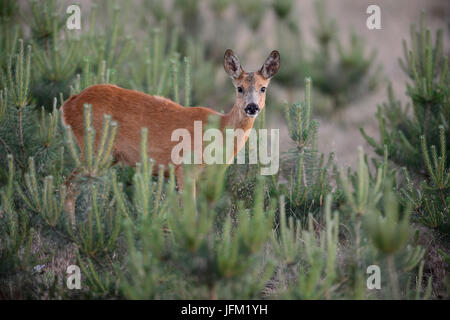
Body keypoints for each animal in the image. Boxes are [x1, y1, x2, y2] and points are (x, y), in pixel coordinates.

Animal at [59, 48, 278, 215]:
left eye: (263, 88)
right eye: (239, 88)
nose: (252, 107)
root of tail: (68, 104)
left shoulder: (211, 177)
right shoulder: (185, 168)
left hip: (108, 156)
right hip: (95, 148)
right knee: (69, 185)